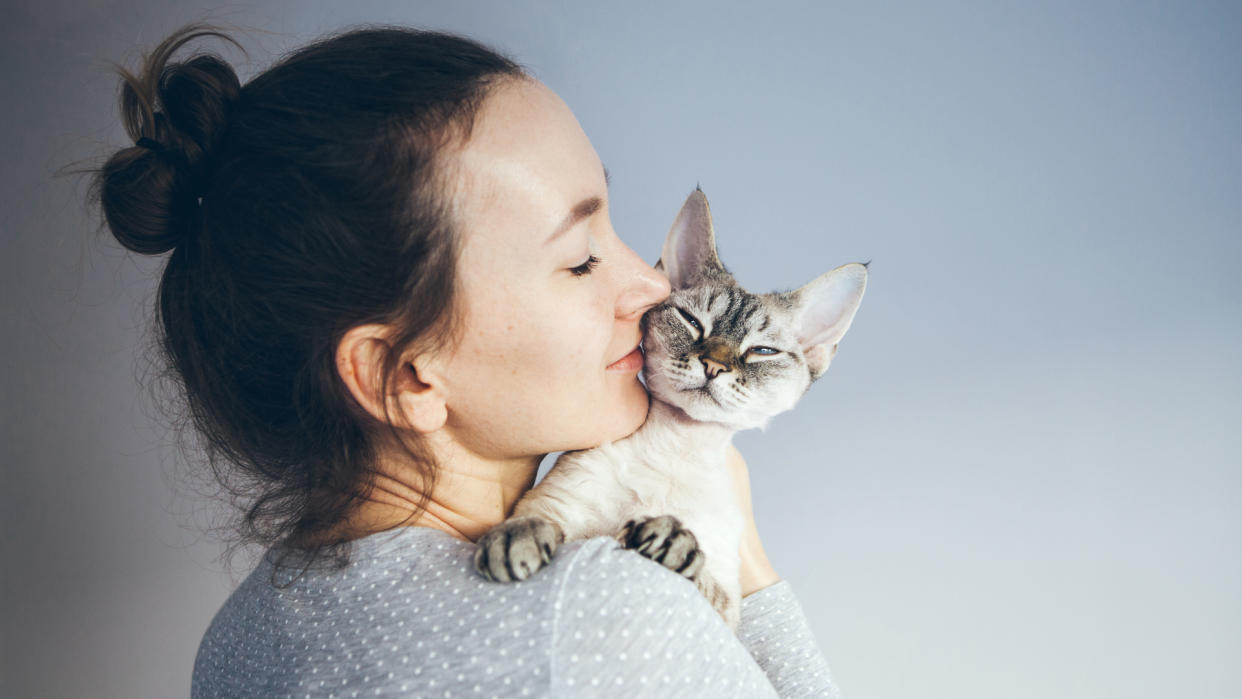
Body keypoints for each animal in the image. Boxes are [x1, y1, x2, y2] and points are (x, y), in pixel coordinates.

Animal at [469, 187, 869, 635]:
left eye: (761, 351)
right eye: (692, 322)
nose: (713, 365)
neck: (676, 448)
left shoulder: (725, 606)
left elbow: (702, 573)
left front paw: (669, 541)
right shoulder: (558, 503)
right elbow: (539, 519)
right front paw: (514, 539)